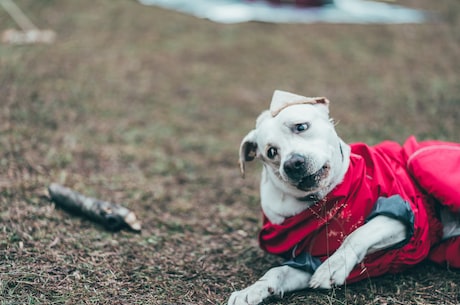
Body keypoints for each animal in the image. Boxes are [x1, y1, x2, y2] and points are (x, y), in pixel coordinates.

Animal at [230, 90, 460, 304]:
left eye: (301, 127)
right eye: (271, 152)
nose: (292, 164)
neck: (323, 200)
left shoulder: (401, 216)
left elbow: (358, 234)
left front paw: (334, 266)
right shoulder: (308, 262)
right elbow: (277, 272)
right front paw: (251, 290)